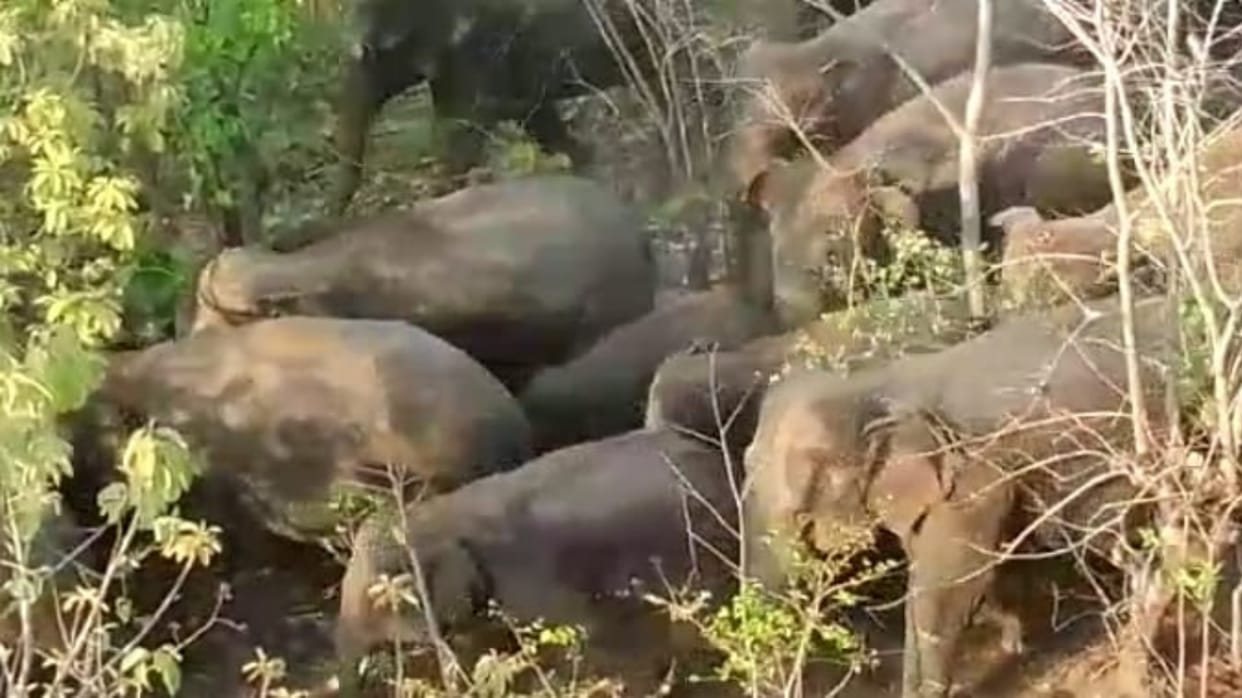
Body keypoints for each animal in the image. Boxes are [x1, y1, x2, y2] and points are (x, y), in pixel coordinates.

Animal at [329, 0, 665, 213]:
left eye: (370, 51)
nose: (333, 220)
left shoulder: (480, 52)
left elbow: (466, 136)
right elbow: (535, 115)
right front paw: (586, 165)